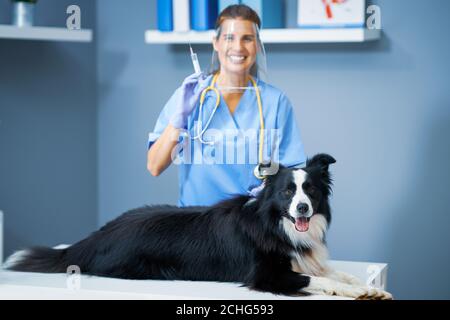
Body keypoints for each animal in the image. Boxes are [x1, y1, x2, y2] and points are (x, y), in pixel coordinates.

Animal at [3, 154, 390, 298]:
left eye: (309, 190)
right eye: (287, 192)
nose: (303, 208)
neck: (275, 225)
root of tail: (95, 237)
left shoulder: (309, 258)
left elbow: (340, 273)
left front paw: (370, 288)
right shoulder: (266, 276)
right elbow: (317, 279)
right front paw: (358, 292)